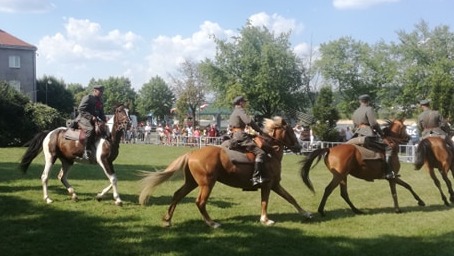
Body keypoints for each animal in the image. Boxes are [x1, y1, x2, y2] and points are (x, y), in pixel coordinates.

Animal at [140, 116, 314, 228]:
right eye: (291, 131)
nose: (299, 146)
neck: (270, 150)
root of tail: (192, 153)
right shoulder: (267, 184)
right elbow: (265, 202)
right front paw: (265, 220)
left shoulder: (275, 184)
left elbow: (290, 198)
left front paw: (306, 214)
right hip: (207, 184)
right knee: (200, 202)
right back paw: (212, 223)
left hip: (192, 182)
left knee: (177, 195)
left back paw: (167, 219)